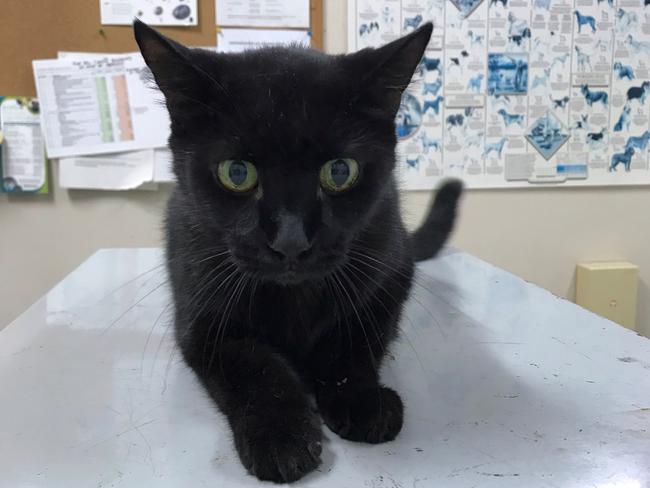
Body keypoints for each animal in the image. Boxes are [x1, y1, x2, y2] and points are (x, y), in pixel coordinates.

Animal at [134, 20, 460, 484]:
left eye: (339, 171)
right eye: (237, 173)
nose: (290, 240)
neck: (294, 299)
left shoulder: (391, 272)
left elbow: (353, 338)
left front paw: (360, 401)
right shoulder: (199, 316)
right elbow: (254, 363)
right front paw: (281, 436)